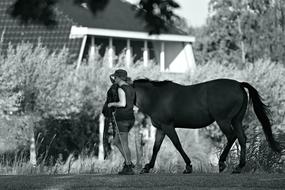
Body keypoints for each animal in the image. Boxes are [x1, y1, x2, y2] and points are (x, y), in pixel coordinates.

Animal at [132, 78, 280, 174]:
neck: (156, 97)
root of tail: (238, 84)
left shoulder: (168, 126)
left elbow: (177, 145)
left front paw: (188, 166)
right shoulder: (161, 128)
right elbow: (156, 148)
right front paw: (147, 167)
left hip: (223, 120)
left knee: (232, 137)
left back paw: (222, 163)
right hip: (236, 120)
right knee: (242, 138)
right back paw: (239, 167)